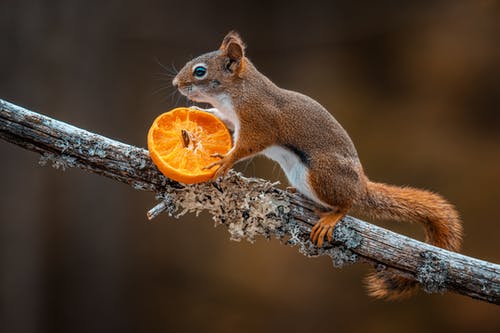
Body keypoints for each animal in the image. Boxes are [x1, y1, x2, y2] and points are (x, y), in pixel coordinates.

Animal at [172, 29, 460, 296]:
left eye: (200, 71)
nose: (175, 83)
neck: (238, 91)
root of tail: (361, 186)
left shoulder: (259, 121)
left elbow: (248, 145)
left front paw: (226, 159)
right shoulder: (233, 117)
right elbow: (221, 119)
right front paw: (199, 112)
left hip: (322, 175)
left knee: (346, 204)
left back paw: (332, 217)